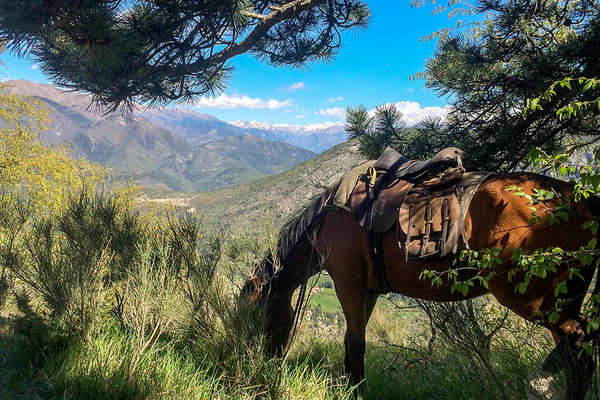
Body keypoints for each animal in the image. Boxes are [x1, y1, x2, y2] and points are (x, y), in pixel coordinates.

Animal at [243, 171, 600, 396]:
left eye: (259, 314)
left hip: (531, 299)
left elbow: (354, 344)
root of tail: (579, 199)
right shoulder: (369, 291)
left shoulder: (348, 284)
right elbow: (353, 341)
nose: (261, 361)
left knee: (578, 348)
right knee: (575, 351)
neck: (327, 219)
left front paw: (356, 391)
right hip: (562, 298)